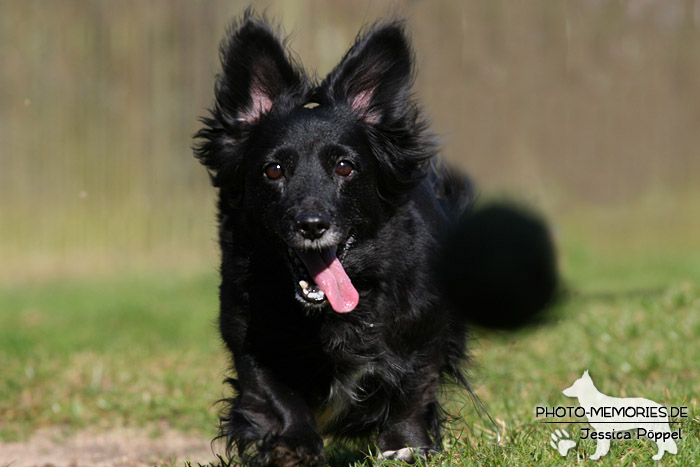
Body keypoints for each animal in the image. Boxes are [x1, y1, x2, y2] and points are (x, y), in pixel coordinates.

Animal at [194, 11, 556, 467]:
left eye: (345, 167)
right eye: (273, 170)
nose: (312, 224)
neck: (330, 314)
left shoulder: (423, 329)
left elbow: (412, 388)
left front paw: (405, 445)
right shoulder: (248, 336)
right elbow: (272, 392)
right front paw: (292, 444)